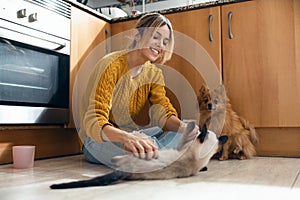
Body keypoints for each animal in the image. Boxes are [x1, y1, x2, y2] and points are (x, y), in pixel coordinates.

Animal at [49, 122, 227, 189]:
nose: (199, 128)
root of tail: (127, 170)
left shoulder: (181, 146)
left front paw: (191, 126)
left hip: (128, 157)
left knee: (115, 160)